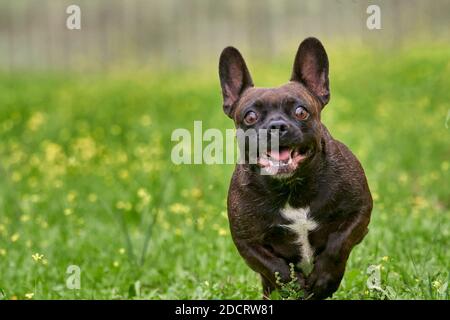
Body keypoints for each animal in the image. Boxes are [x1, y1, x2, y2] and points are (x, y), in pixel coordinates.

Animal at [219, 38, 372, 300]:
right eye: (250, 117)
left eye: (301, 111)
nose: (276, 125)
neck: (291, 187)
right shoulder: (247, 242)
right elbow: (273, 266)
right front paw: (295, 285)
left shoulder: (359, 213)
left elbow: (338, 243)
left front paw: (324, 279)